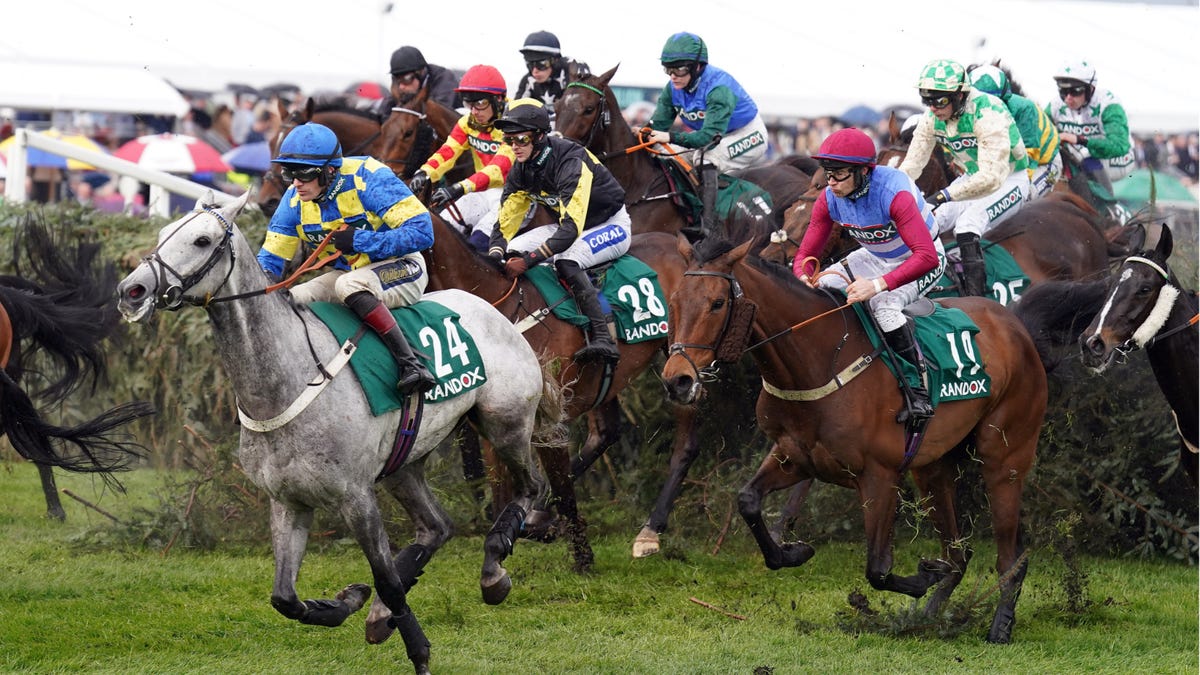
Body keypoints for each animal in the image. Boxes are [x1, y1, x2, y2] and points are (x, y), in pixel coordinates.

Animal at [113, 186, 561, 667]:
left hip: (505, 422)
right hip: (404, 462)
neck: (286, 381)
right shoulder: (287, 501)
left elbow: (384, 579)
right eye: (163, 232)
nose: (131, 290)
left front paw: (417, 649)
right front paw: (348, 600)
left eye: (201, 240)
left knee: (532, 486)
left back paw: (492, 571)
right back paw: (382, 611)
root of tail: (496, 311)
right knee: (437, 526)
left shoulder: (355, 497)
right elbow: (284, 598)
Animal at [662, 235, 1046, 638]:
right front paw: (794, 551)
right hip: (933, 468)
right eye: (673, 300)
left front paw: (924, 576)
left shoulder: (880, 475)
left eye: (717, 303)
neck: (816, 362)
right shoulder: (795, 455)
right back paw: (928, 616)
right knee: (958, 552)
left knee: (1010, 555)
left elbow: (878, 568)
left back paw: (1000, 626)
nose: (677, 381)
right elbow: (748, 501)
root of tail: (1013, 322)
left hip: (1005, 458)